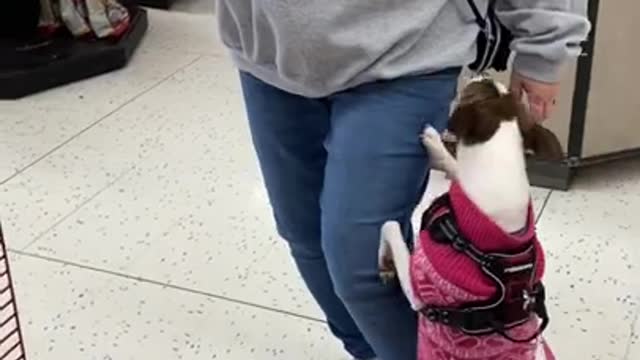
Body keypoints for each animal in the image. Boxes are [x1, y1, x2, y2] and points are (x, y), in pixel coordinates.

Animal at [380, 76, 556, 360]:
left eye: (473, 91)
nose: (484, 73)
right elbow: (454, 167)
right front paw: (436, 144)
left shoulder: (419, 291)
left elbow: (390, 226)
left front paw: (384, 262)